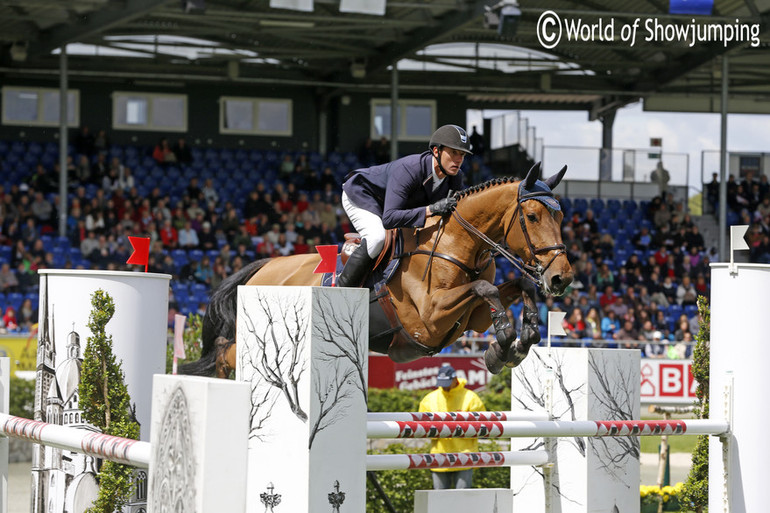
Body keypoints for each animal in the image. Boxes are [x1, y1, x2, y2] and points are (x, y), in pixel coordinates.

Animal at [180, 162, 572, 378]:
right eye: (532, 216)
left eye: (561, 216)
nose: (562, 277)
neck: (456, 244)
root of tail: (265, 267)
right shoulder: (429, 319)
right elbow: (486, 290)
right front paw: (504, 341)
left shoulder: (467, 320)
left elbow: (516, 286)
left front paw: (523, 338)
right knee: (225, 355)